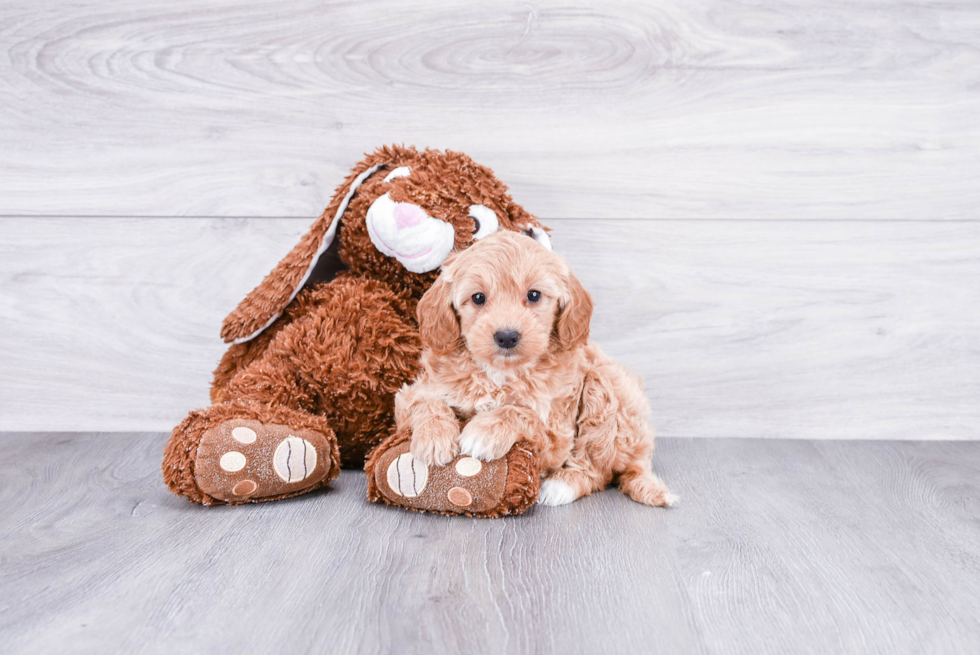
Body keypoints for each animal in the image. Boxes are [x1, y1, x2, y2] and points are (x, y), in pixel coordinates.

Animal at [394, 231, 676, 508]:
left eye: (534, 295)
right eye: (478, 298)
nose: (507, 336)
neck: (501, 373)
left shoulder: (557, 435)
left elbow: (522, 413)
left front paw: (484, 431)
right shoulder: (412, 395)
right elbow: (426, 402)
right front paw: (434, 438)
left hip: (606, 386)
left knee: (598, 471)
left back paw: (561, 486)